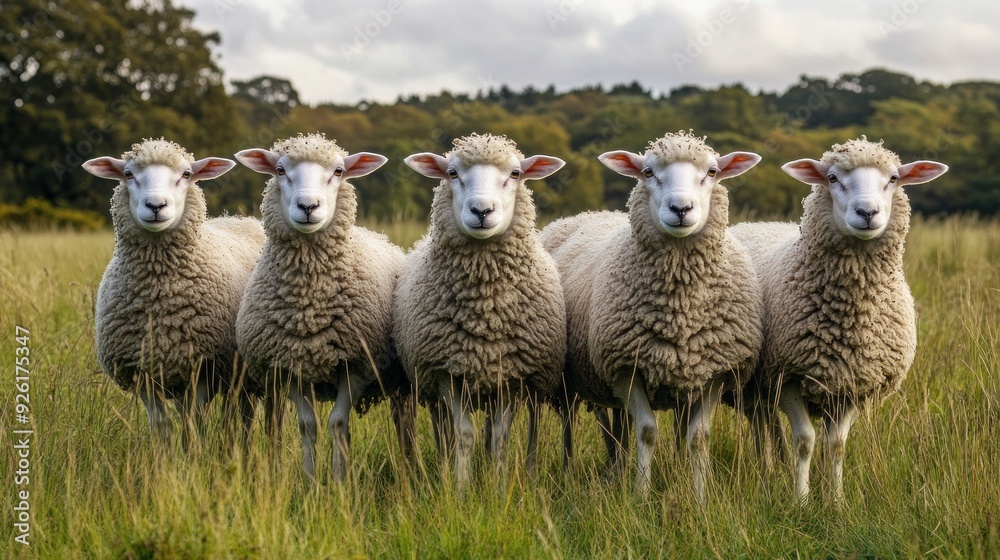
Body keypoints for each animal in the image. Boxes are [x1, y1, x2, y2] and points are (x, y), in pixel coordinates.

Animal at [83, 138, 266, 444]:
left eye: (186, 174)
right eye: (128, 174)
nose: (156, 205)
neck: (161, 293)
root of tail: (239, 219)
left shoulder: (202, 368)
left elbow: (194, 424)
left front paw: (195, 454)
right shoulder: (143, 373)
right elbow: (161, 427)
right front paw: (163, 456)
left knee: (243, 414)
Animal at [234, 133, 412, 481]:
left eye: (339, 171)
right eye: (279, 170)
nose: (308, 206)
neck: (309, 308)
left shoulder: (357, 365)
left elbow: (338, 423)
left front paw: (339, 481)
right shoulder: (288, 367)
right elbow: (308, 425)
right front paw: (310, 481)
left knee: (403, 423)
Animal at [395, 133, 566, 491]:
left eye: (515, 174)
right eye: (452, 173)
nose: (482, 210)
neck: (486, 309)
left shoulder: (511, 378)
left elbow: (500, 437)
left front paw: (498, 488)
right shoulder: (447, 373)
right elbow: (463, 435)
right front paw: (460, 489)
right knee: (443, 429)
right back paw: (445, 469)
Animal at [540, 131, 763, 500]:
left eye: (712, 171)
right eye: (647, 172)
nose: (681, 209)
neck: (680, 310)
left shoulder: (716, 371)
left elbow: (698, 437)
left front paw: (700, 497)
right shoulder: (626, 367)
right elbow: (646, 431)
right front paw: (640, 495)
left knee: (619, 426)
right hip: (573, 378)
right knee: (577, 422)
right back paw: (576, 471)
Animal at [729, 137, 948, 503]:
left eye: (893, 178)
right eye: (832, 178)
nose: (867, 213)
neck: (849, 323)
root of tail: (755, 224)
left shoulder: (853, 387)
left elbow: (837, 446)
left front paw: (836, 501)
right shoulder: (788, 374)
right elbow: (805, 441)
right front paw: (801, 501)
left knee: (769, 426)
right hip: (755, 383)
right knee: (762, 426)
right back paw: (768, 473)